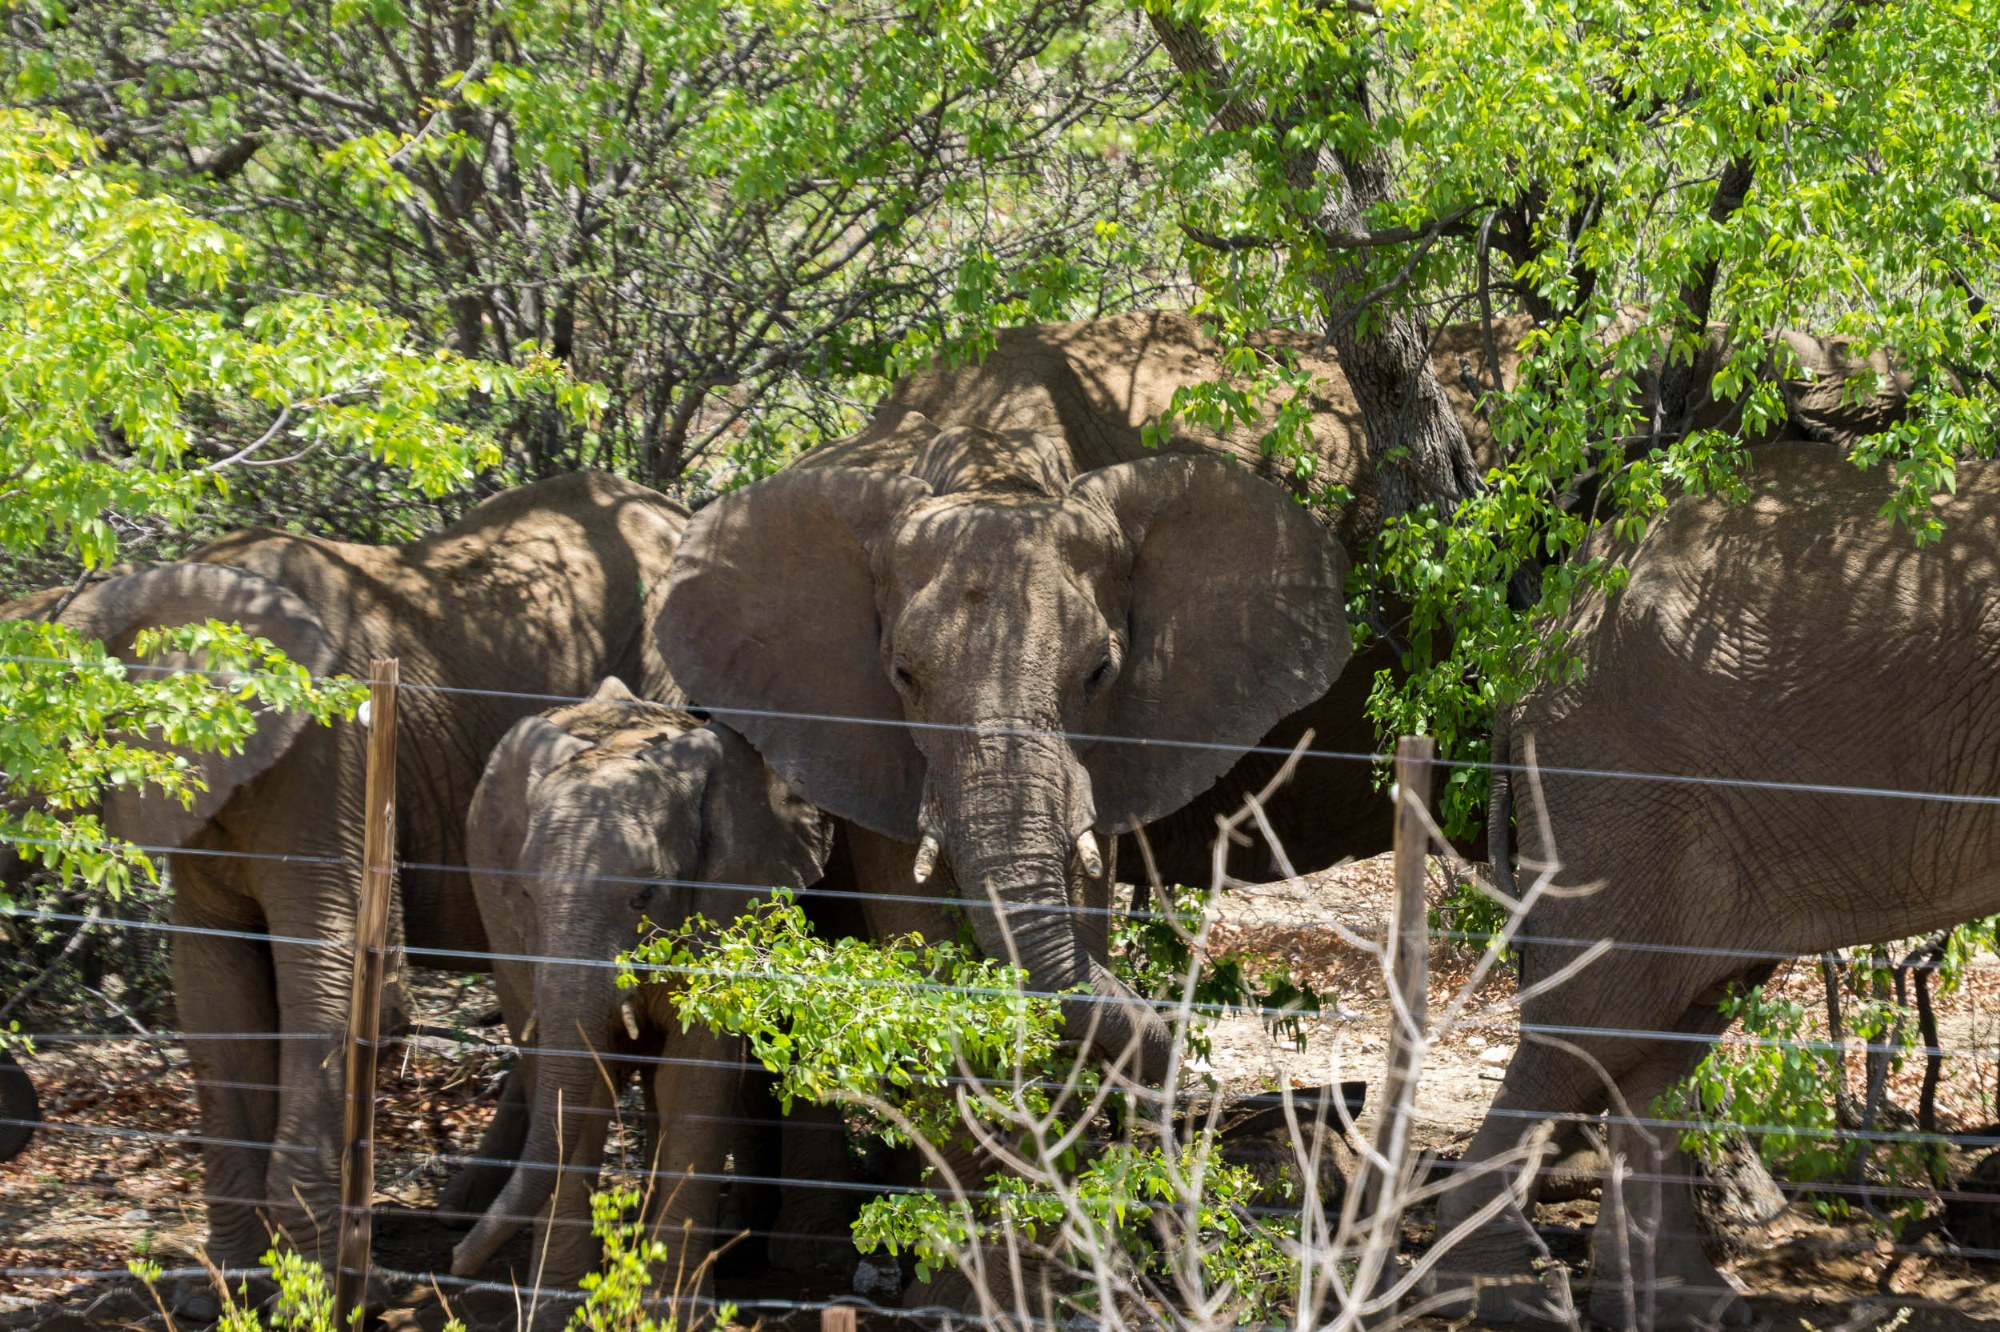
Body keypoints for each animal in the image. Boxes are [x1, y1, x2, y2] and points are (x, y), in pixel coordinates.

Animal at [0, 472, 687, 1267]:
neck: (137, 588)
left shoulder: (331, 752)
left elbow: (330, 977)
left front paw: (322, 1276)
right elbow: (213, 993)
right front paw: (236, 1281)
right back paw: (461, 1212)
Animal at [448, 678, 834, 1290]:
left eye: (645, 896)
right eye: (527, 895)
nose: (454, 1259)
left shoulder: (730, 896)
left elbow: (693, 1079)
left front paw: (666, 1301)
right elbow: (582, 1089)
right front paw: (559, 1300)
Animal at [1430, 442, 2000, 1327]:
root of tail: (1539, 635)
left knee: (1662, 1049)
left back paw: (1685, 1305)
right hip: (1618, 785)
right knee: (1591, 1028)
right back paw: (1510, 1293)